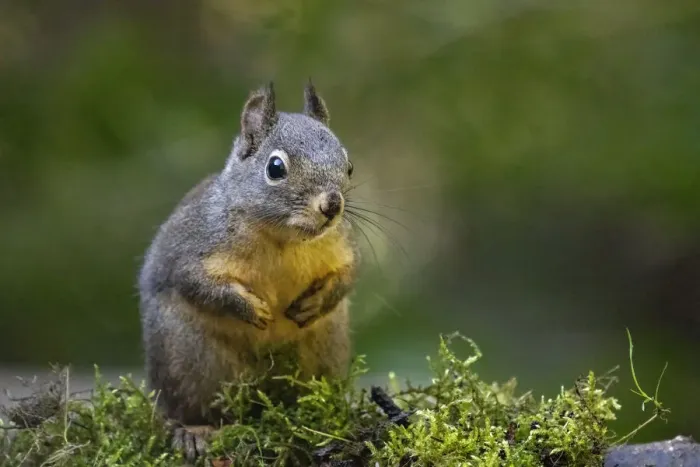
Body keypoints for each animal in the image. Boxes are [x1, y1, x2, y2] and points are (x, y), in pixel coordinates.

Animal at [137, 81, 360, 462]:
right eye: (275, 167)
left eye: (348, 166)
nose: (332, 205)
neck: (283, 239)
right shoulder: (193, 248)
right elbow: (197, 283)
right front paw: (251, 309)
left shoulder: (340, 246)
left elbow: (347, 276)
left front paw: (314, 303)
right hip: (189, 359)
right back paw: (193, 432)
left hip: (324, 348)